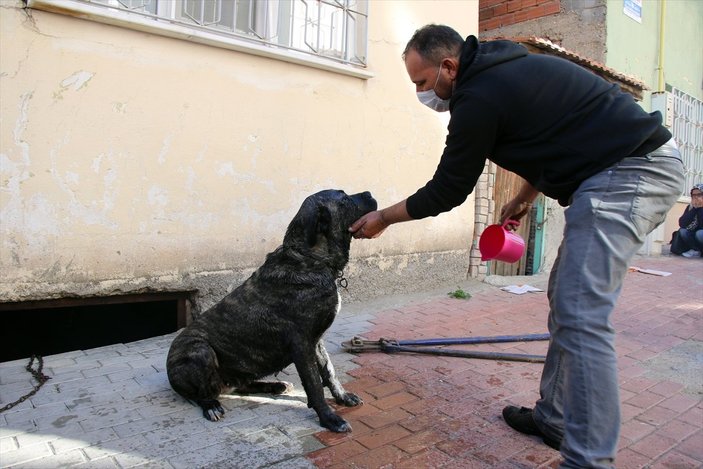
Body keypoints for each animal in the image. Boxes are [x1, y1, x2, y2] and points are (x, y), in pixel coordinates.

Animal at [167, 189, 376, 432]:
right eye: (344, 199)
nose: (370, 193)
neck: (310, 258)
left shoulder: (316, 342)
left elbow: (329, 371)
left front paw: (342, 397)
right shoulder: (302, 344)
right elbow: (314, 383)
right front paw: (329, 418)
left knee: (241, 386)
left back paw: (275, 386)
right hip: (200, 350)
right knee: (201, 393)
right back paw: (211, 405)